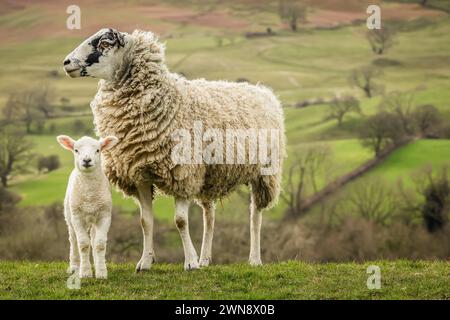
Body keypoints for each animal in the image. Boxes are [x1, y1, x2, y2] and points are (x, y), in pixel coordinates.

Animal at [57, 134, 118, 278]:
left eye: (98, 150)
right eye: (76, 150)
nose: (86, 160)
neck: (89, 196)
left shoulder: (104, 215)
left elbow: (100, 244)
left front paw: (101, 272)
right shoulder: (77, 216)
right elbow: (83, 245)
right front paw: (85, 273)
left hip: (94, 219)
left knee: (94, 238)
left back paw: (97, 263)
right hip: (69, 217)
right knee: (73, 240)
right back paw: (74, 267)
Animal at [62, 28, 286, 272]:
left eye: (104, 43)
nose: (66, 63)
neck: (167, 100)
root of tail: (262, 91)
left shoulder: (183, 173)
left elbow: (180, 221)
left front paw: (190, 262)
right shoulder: (141, 174)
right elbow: (145, 221)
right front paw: (145, 262)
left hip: (263, 172)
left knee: (255, 214)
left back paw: (254, 259)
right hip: (210, 175)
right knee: (209, 215)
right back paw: (205, 258)